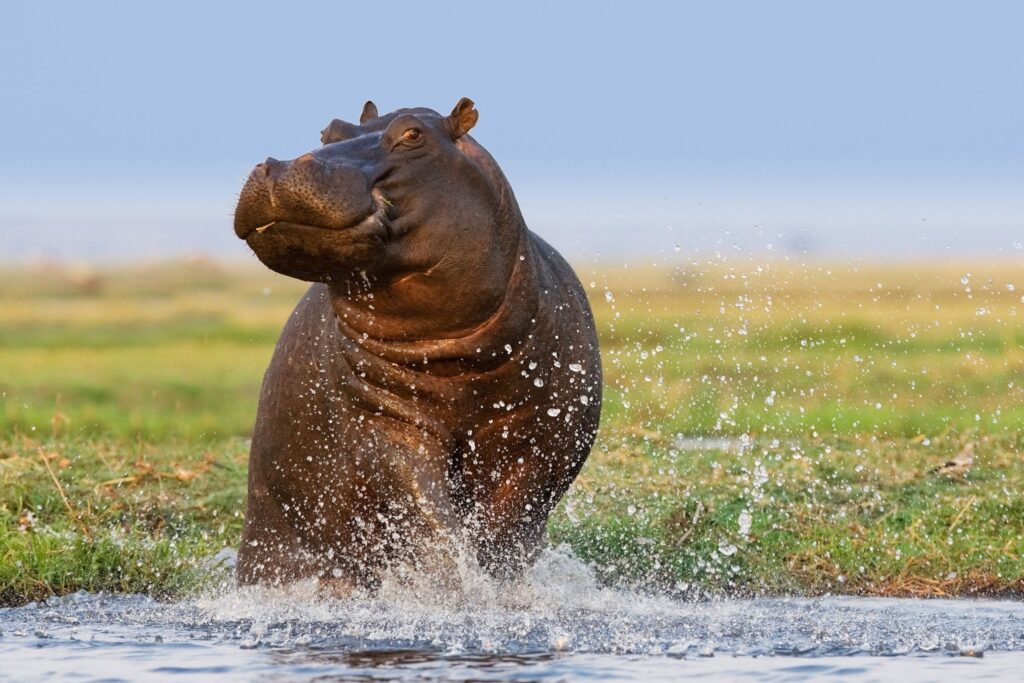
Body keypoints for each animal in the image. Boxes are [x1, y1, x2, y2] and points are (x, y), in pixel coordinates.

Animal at [232, 97, 598, 589]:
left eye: (412, 134)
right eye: (327, 130)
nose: (281, 166)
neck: (460, 361)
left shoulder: (542, 436)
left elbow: (509, 526)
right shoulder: (385, 423)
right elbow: (430, 516)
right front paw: (457, 587)